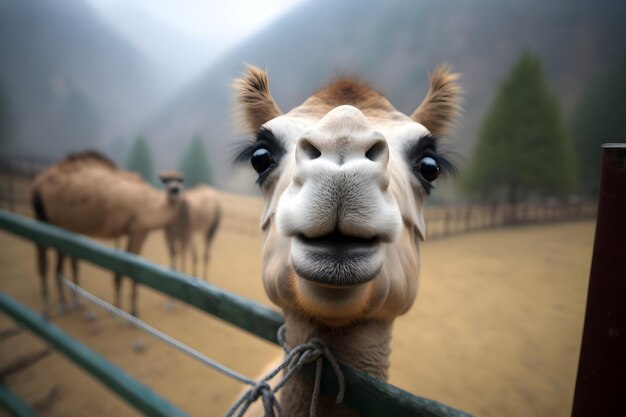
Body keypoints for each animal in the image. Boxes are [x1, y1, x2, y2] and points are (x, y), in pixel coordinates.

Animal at [31, 150, 183, 316]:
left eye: (181, 179)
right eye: (165, 180)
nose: (175, 189)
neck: (152, 209)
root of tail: (38, 183)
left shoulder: (134, 232)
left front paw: (118, 306)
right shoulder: (138, 229)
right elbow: (133, 270)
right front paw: (132, 311)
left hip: (60, 224)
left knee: (62, 261)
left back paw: (70, 303)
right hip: (46, 219)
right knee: (45, 262)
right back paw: (50, 307)